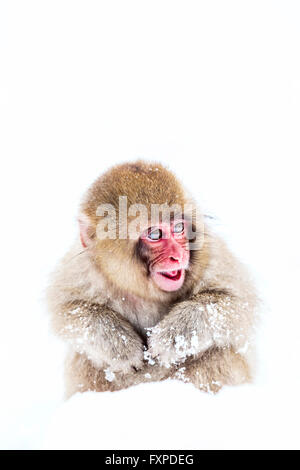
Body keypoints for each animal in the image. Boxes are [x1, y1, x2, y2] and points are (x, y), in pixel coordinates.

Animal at [47, 161, 258, 396]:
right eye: (155, 234)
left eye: (178, 227)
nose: (179, 255)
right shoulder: (83, 268)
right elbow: (67, 311)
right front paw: (120, 345)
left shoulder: (211, 256)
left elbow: (236, 304)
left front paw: (174, 337)